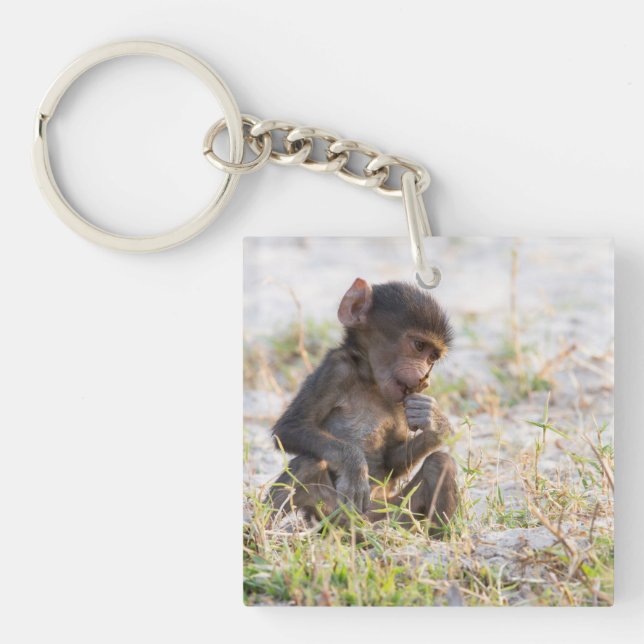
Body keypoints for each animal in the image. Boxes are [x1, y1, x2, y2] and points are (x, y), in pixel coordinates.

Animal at [266, 277, 458, 533]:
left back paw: (438, 537)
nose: (424, 379)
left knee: (441, 463)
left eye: (432, 357)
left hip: (394, 512)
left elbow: (392, 459)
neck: (370, 381)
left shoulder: (401, 402)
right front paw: (355, 466)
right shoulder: (336, 369)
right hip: (331, 513)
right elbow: (289, 428)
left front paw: (435, 421)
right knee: (306, 464)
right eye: (419, 346)